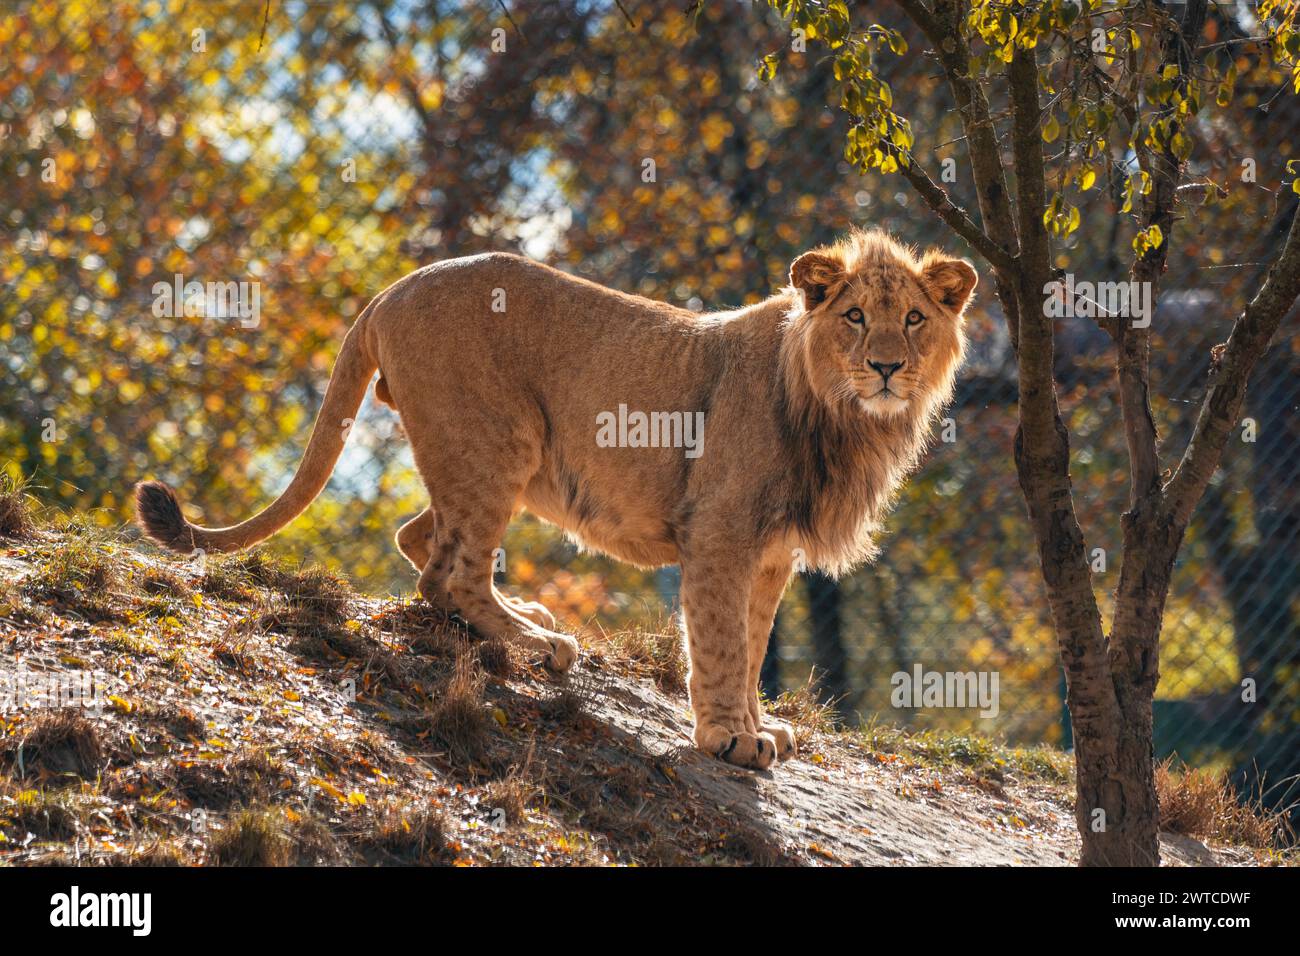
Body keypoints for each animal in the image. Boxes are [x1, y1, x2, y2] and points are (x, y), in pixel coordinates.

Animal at [139, 230, 977, 770]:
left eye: (914, 319)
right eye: (855, 316)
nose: (887, 368)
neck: (846, 421)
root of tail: (389, 291)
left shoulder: (771, 552)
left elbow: (752, 641)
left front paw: (755, 724)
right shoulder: (720, 533)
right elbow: (720, 641)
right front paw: (727, 739)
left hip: (485, 453)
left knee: (422, 543)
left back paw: (525, 616)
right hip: (502, 437)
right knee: (449, 573)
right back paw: (537, 641)